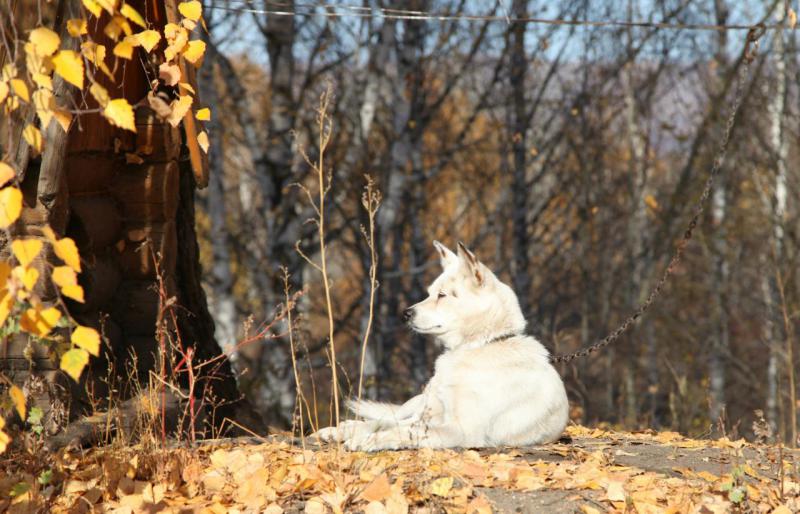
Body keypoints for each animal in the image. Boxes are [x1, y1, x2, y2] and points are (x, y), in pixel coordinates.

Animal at [312, 240, 568, 448]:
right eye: (429, 293)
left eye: (442, 295)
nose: (405, 313)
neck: (479, 345)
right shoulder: (430, 416)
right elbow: (392, 426)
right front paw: (356, 434)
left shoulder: (460, 431)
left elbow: (402, 432)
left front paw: (368, 441)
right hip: (419, 404)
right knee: (390, 418)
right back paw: (339, 430)